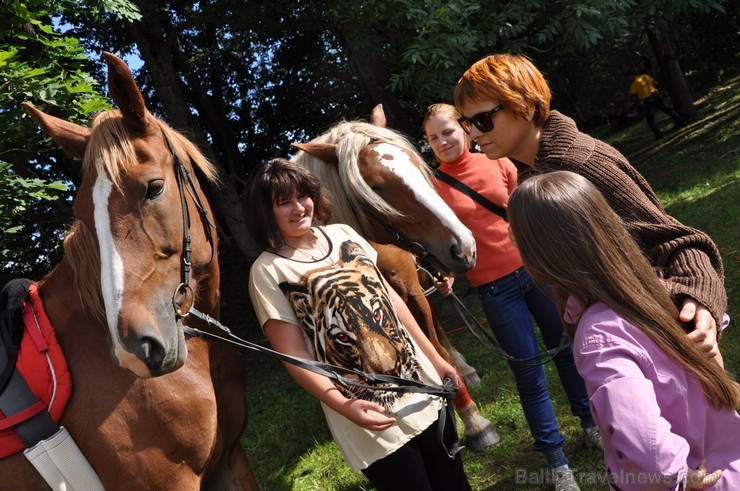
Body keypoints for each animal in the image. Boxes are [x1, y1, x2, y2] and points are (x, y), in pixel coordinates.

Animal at [292, 108, 500, 454]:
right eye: (376, 187)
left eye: (416, 164)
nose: (464, 246)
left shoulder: (411, 291)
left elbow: (438, 353)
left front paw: (473, 420)